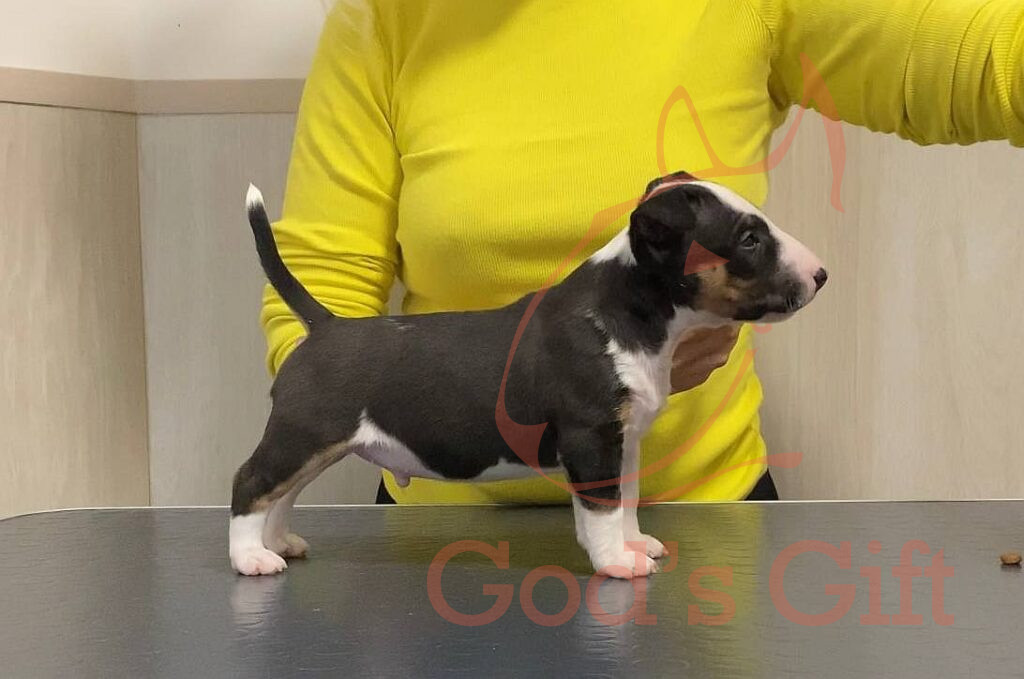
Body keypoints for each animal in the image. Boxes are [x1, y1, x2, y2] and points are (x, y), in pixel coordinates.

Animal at [229, 171, 826, 579]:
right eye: (749, 239)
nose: (821, 275)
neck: (624, 311)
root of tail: (326, 325)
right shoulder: (590, 437)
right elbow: (603, 507)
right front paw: (617, 563)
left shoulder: (624, 441)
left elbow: (623, 500)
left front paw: (634, 545)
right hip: (303, 432)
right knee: (252, 482)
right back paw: (250, 558)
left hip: (313, 443)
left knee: (282, 492)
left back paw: (278, 544)